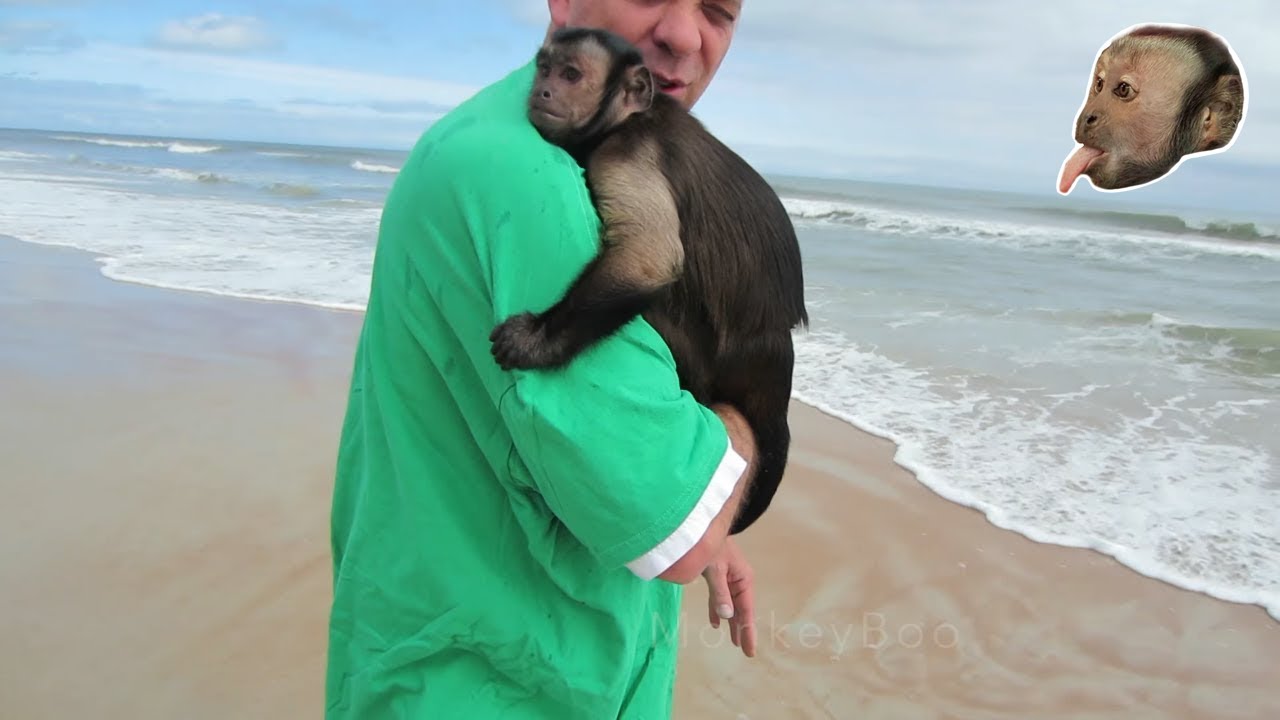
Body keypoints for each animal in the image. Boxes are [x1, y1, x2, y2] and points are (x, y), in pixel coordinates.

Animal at [488, 26, 808, 536]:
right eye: (545, 69)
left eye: (570, 74)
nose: (541, 91)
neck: (627, 118)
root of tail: (776, 344)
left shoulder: (627, 151)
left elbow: (648, 261)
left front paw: (539, 340)